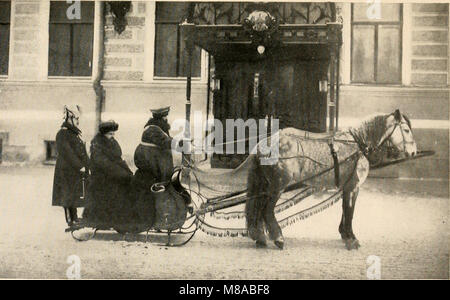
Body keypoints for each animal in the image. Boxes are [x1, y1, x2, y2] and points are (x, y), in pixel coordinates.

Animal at [244, 109, 416, 250]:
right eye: (406, 130)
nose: (413, 152)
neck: (358, 144)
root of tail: (262, 145)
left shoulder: (347, 188)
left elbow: (345, 210)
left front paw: (345, 235)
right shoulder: (353, 186)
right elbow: (350, 211)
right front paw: (351, 240)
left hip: (266, 185)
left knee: (257, 208)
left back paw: (260, 237)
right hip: (278, 186)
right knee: (267, 210)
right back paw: (278, 238)